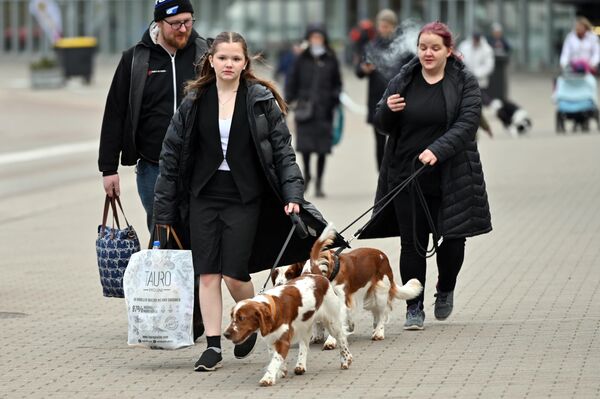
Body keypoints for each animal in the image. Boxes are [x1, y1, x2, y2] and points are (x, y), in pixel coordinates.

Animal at [224, 276, 352, 388]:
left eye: (241, 318)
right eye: (231, 316)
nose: (225, 334)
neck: (273, 308)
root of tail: (321, 277)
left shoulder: (283, 341)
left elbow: (275, 360)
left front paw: (268, 378)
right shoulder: (271, 339)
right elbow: (275, 357)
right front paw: (281, 371)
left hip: (332, 321)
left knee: (342, 339)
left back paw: (346, 360)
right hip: (304, 325)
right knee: (304, 345)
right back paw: (300, 366)